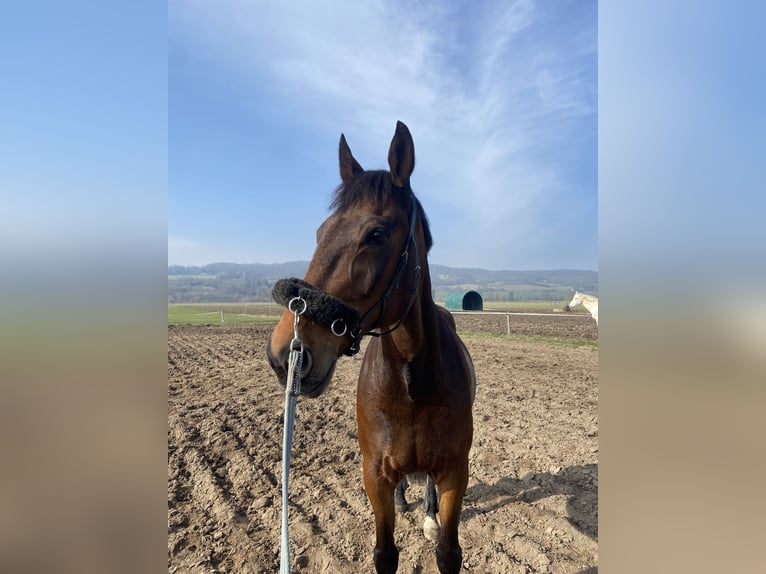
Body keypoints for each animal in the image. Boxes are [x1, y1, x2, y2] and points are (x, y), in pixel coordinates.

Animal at [268, 121, 476, 574]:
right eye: (320, 232)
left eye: (376, 234)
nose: (283, 354)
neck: (411, 381)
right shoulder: (374, 476)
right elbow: (385, 552)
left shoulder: (455, 472)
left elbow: (448, 551)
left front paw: (434, 524)